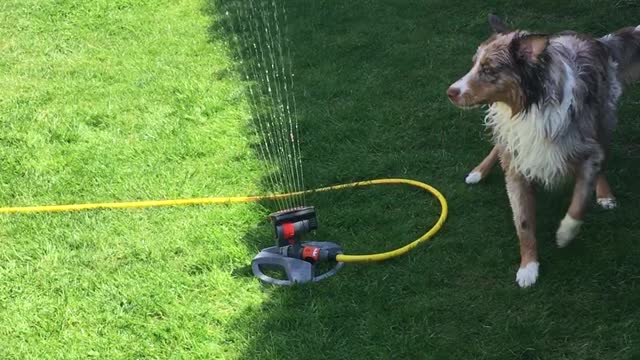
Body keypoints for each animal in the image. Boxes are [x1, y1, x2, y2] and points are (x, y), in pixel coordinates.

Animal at [444, 15, 640, 288]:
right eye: (474, 65)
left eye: (489, 69)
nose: (450, 92)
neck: (529, 109)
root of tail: (597, 40)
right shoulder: (516, 163)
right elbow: (524, 222)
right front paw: (528, 267)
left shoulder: (588, 152)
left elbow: (579, 202)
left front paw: (565, 234)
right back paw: (479, 171)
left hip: (604, 120)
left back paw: (604, 195)